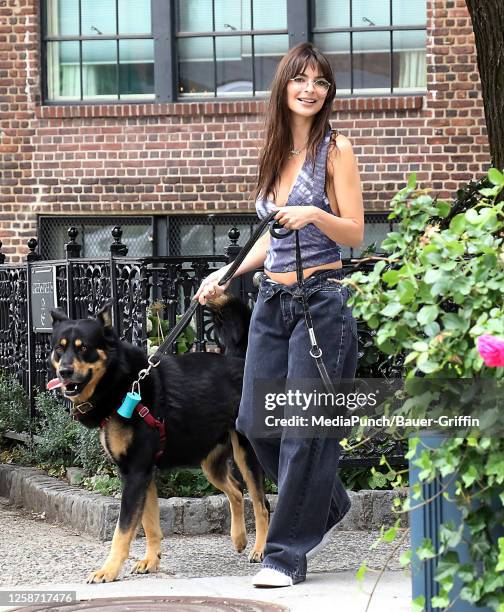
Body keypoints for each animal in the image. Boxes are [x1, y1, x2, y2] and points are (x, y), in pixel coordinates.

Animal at [49, 296, 270, 584]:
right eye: (59, 349)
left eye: (84, 348)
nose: (64, 371)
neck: (123, 384)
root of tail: (238, 361)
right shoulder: (141, 474)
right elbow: (150, 524)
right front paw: (151, 561)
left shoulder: (136, 473)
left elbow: (123, 531)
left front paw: (109, 570)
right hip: (210, 462)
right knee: (235, 489)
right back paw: (239, 538)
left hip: (246, 453)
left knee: (262, 504)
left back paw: (260, 549)